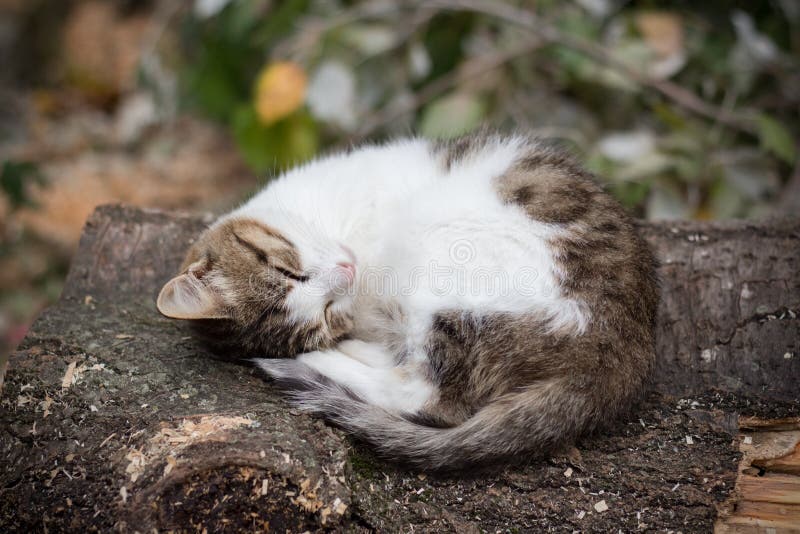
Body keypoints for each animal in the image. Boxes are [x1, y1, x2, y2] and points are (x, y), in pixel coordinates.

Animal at [158, 134, 664, 474]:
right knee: (425, 390)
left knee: (430, 395)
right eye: (322, 316)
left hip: (443, 240)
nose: (345, 272)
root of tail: (622, 356)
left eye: (289, 270)